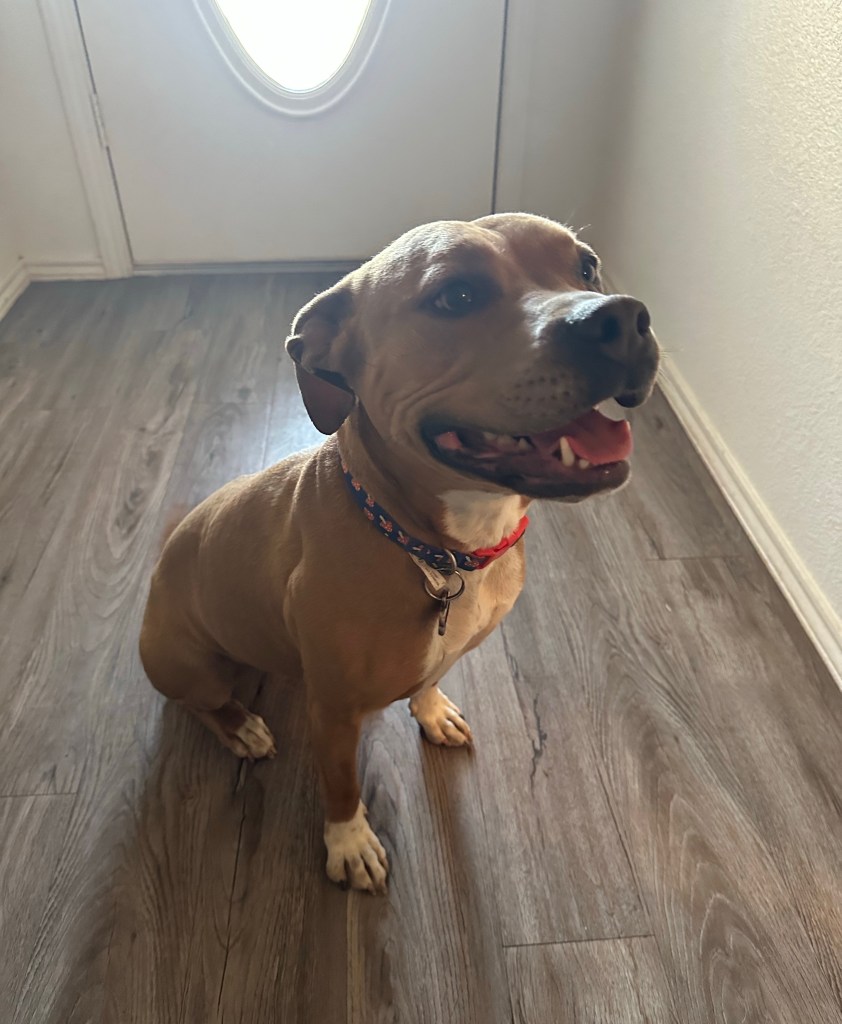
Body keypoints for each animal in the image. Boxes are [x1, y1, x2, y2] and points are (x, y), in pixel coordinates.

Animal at [139, 212, 659, 893]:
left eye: (588, 266)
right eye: (456, 296)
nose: (621, 317)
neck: (439, 551)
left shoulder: (448, 647)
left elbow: (431, 676)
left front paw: (431, 711)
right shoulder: (333, 713)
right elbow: (341, 784)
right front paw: (349, 842)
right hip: (182, 662)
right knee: (200, 704)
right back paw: (242, 725)